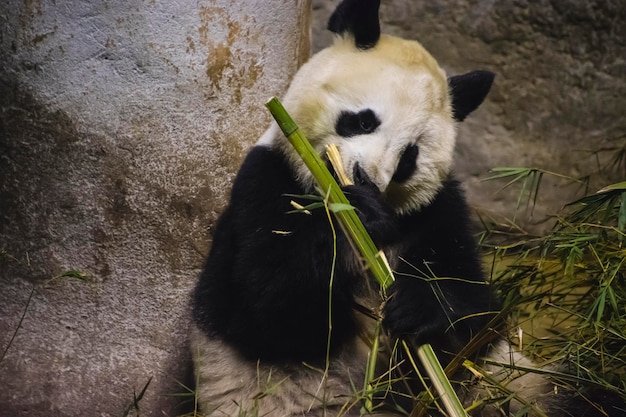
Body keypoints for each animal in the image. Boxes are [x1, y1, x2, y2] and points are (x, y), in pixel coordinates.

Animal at [190, 0, 620, 416]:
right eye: (363, 120)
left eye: (409, 156)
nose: (364, 179)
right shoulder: (266, 183)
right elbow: (270, 311)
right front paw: (355, 215)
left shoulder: (438, 210)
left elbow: (474, 315)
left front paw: (416, 306)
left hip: (516, 387)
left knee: (582, 394)